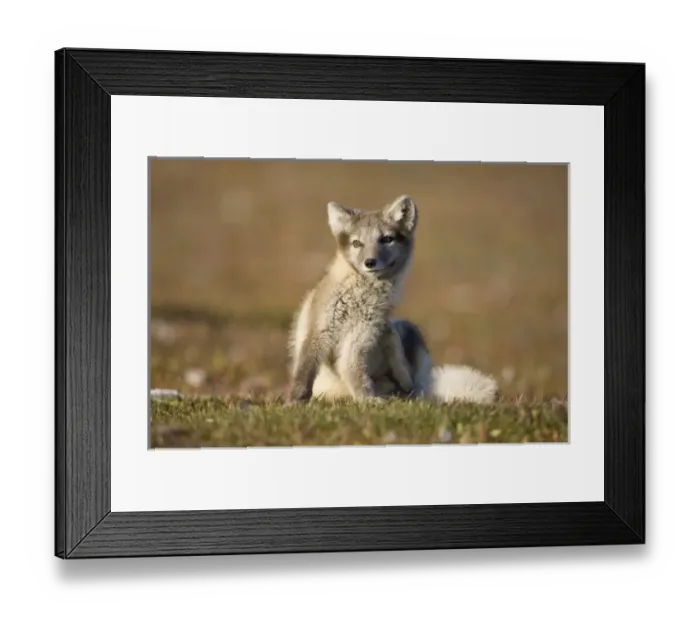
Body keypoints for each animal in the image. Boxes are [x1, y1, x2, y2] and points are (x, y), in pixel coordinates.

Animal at [286, 194, 499, 405]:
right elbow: (305, 369)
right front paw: (296, 400)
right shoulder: (320, 330)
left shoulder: (361, 335)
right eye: (357, 243)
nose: (370, 262)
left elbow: (354, 370)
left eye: (386, 239)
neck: (359, 298)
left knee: (406, 377)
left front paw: (367, 399)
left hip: (406, 329)